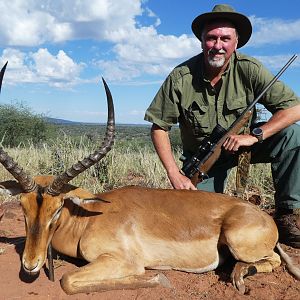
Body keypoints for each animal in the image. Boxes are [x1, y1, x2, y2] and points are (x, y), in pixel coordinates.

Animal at [0, 71, 300, 296]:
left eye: (57, 209)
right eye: (23, 208)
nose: (30, 264)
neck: (87, 219)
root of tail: (264, 217)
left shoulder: (121, 260)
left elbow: (68, 280)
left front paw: (158, 280)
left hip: (239, 243)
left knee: (270, 260)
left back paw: (239, 274)